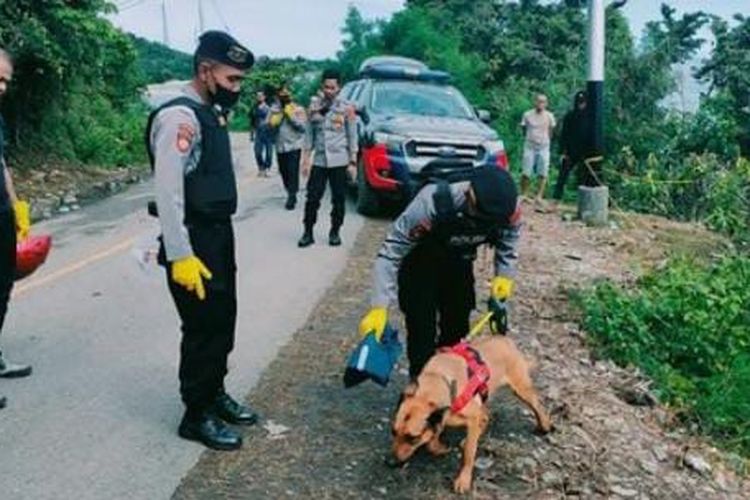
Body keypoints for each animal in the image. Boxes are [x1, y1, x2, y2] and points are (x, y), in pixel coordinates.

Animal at [394, 334, 552, 494]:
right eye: (393, 432)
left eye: (413, 438)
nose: (391, 463)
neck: (439, 380)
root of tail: (505, 339)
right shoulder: (444, 416)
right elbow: (433, 437)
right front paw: (438, 447)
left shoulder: (471, 415)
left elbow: (469, 453)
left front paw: (464, 479)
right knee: (485, 417)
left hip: (521, 389)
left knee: (537, 405)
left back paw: (545, 425)